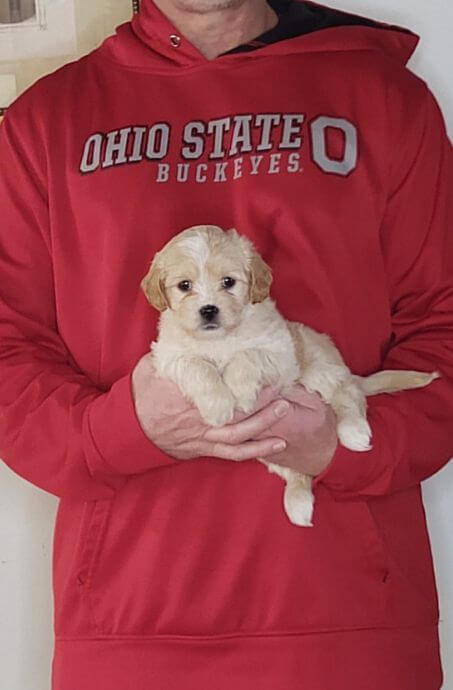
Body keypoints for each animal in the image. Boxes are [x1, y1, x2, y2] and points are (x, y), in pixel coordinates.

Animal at [141, 223, 438, 524]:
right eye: (184, 286)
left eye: (228, 282)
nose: (209, 310)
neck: (220, 339)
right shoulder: (168, 356)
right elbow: (197, 366)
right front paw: (218, 405)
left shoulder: (280, 352)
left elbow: (247, 355)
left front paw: (241, 393)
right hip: (273, 451)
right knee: (297, 472)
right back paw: (298, 504)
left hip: (318, 369)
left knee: (348, 394)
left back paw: (353, 431)